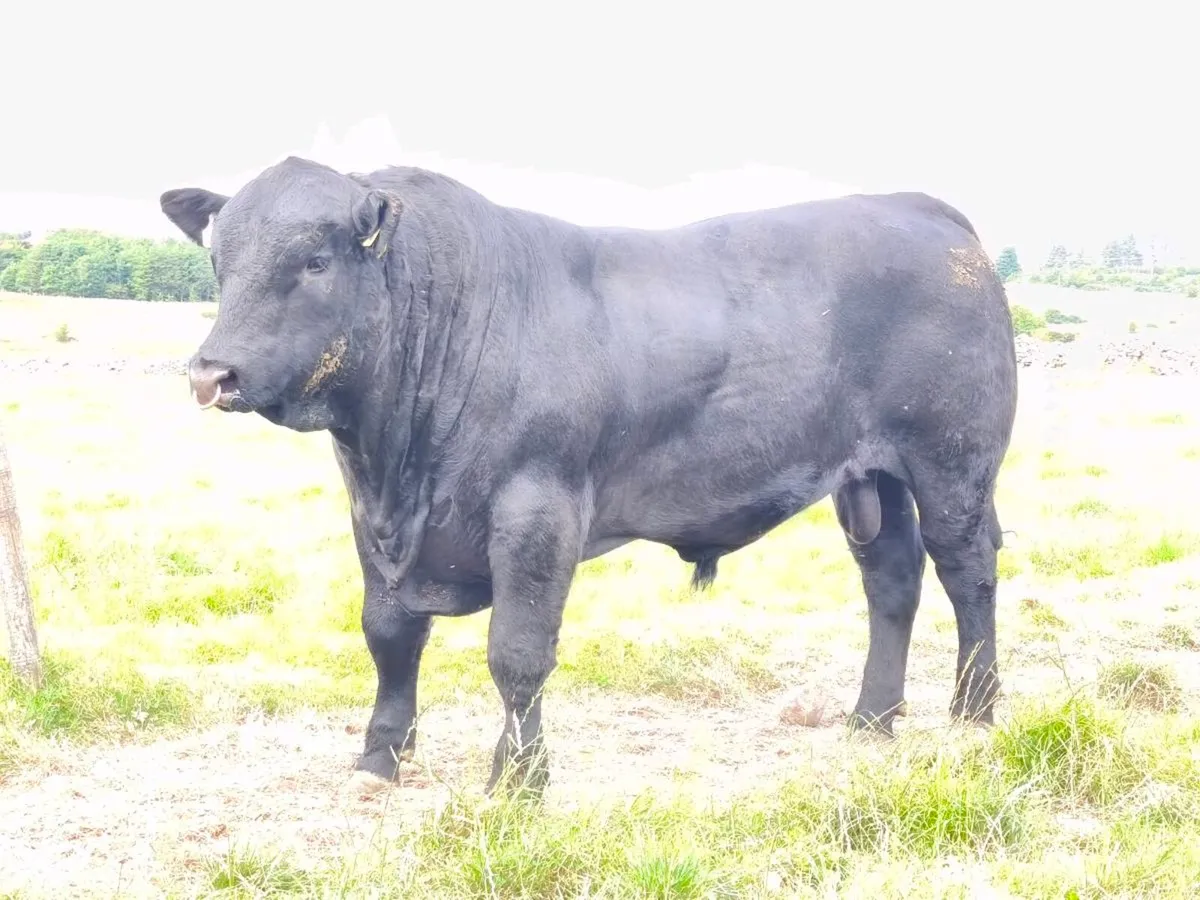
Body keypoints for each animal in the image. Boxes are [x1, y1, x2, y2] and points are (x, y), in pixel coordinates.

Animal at [160, 156, 1018, 797]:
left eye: (313, 260)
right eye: (219, 262)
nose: (210, 373)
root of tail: (921, 209)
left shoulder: (537, 511)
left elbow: (518, 653)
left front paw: (518, 780)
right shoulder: (373, 520)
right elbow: (389, 635)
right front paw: (379, 759)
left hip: (953, 465)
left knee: (967, 575)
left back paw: (973, 713)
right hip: (870, 479)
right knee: (893, 582)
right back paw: (872, 718)